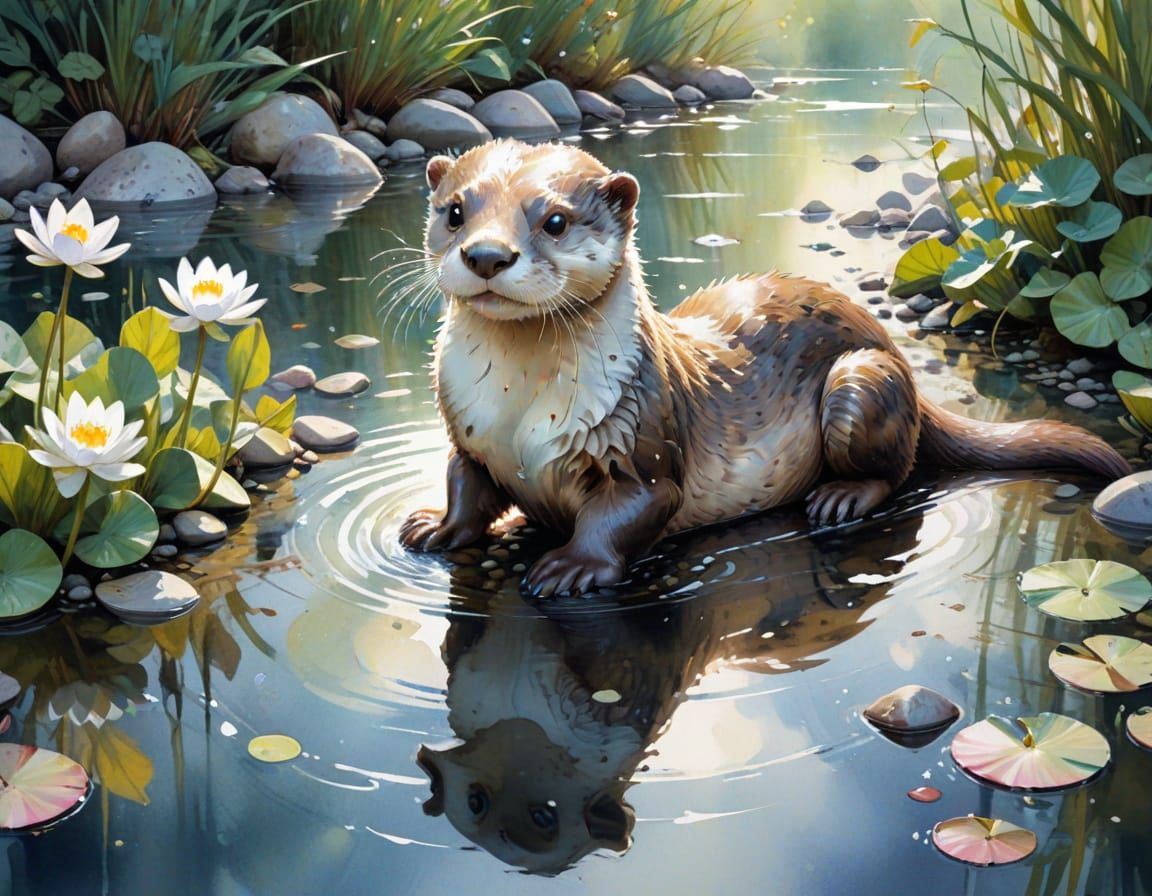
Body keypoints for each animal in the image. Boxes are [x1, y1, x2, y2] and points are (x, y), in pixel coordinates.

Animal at [399, 139, 1129, 597]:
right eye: (455, 211)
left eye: (553, 220)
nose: (486, 255)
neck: (518, 414)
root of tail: (896, 354)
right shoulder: (469, 438)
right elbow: (465, 487)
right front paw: (436, 526)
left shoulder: (641, 442)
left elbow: (630, 512)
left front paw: (573, 566)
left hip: (860, 383)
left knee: (897, 468)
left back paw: (841, 497)